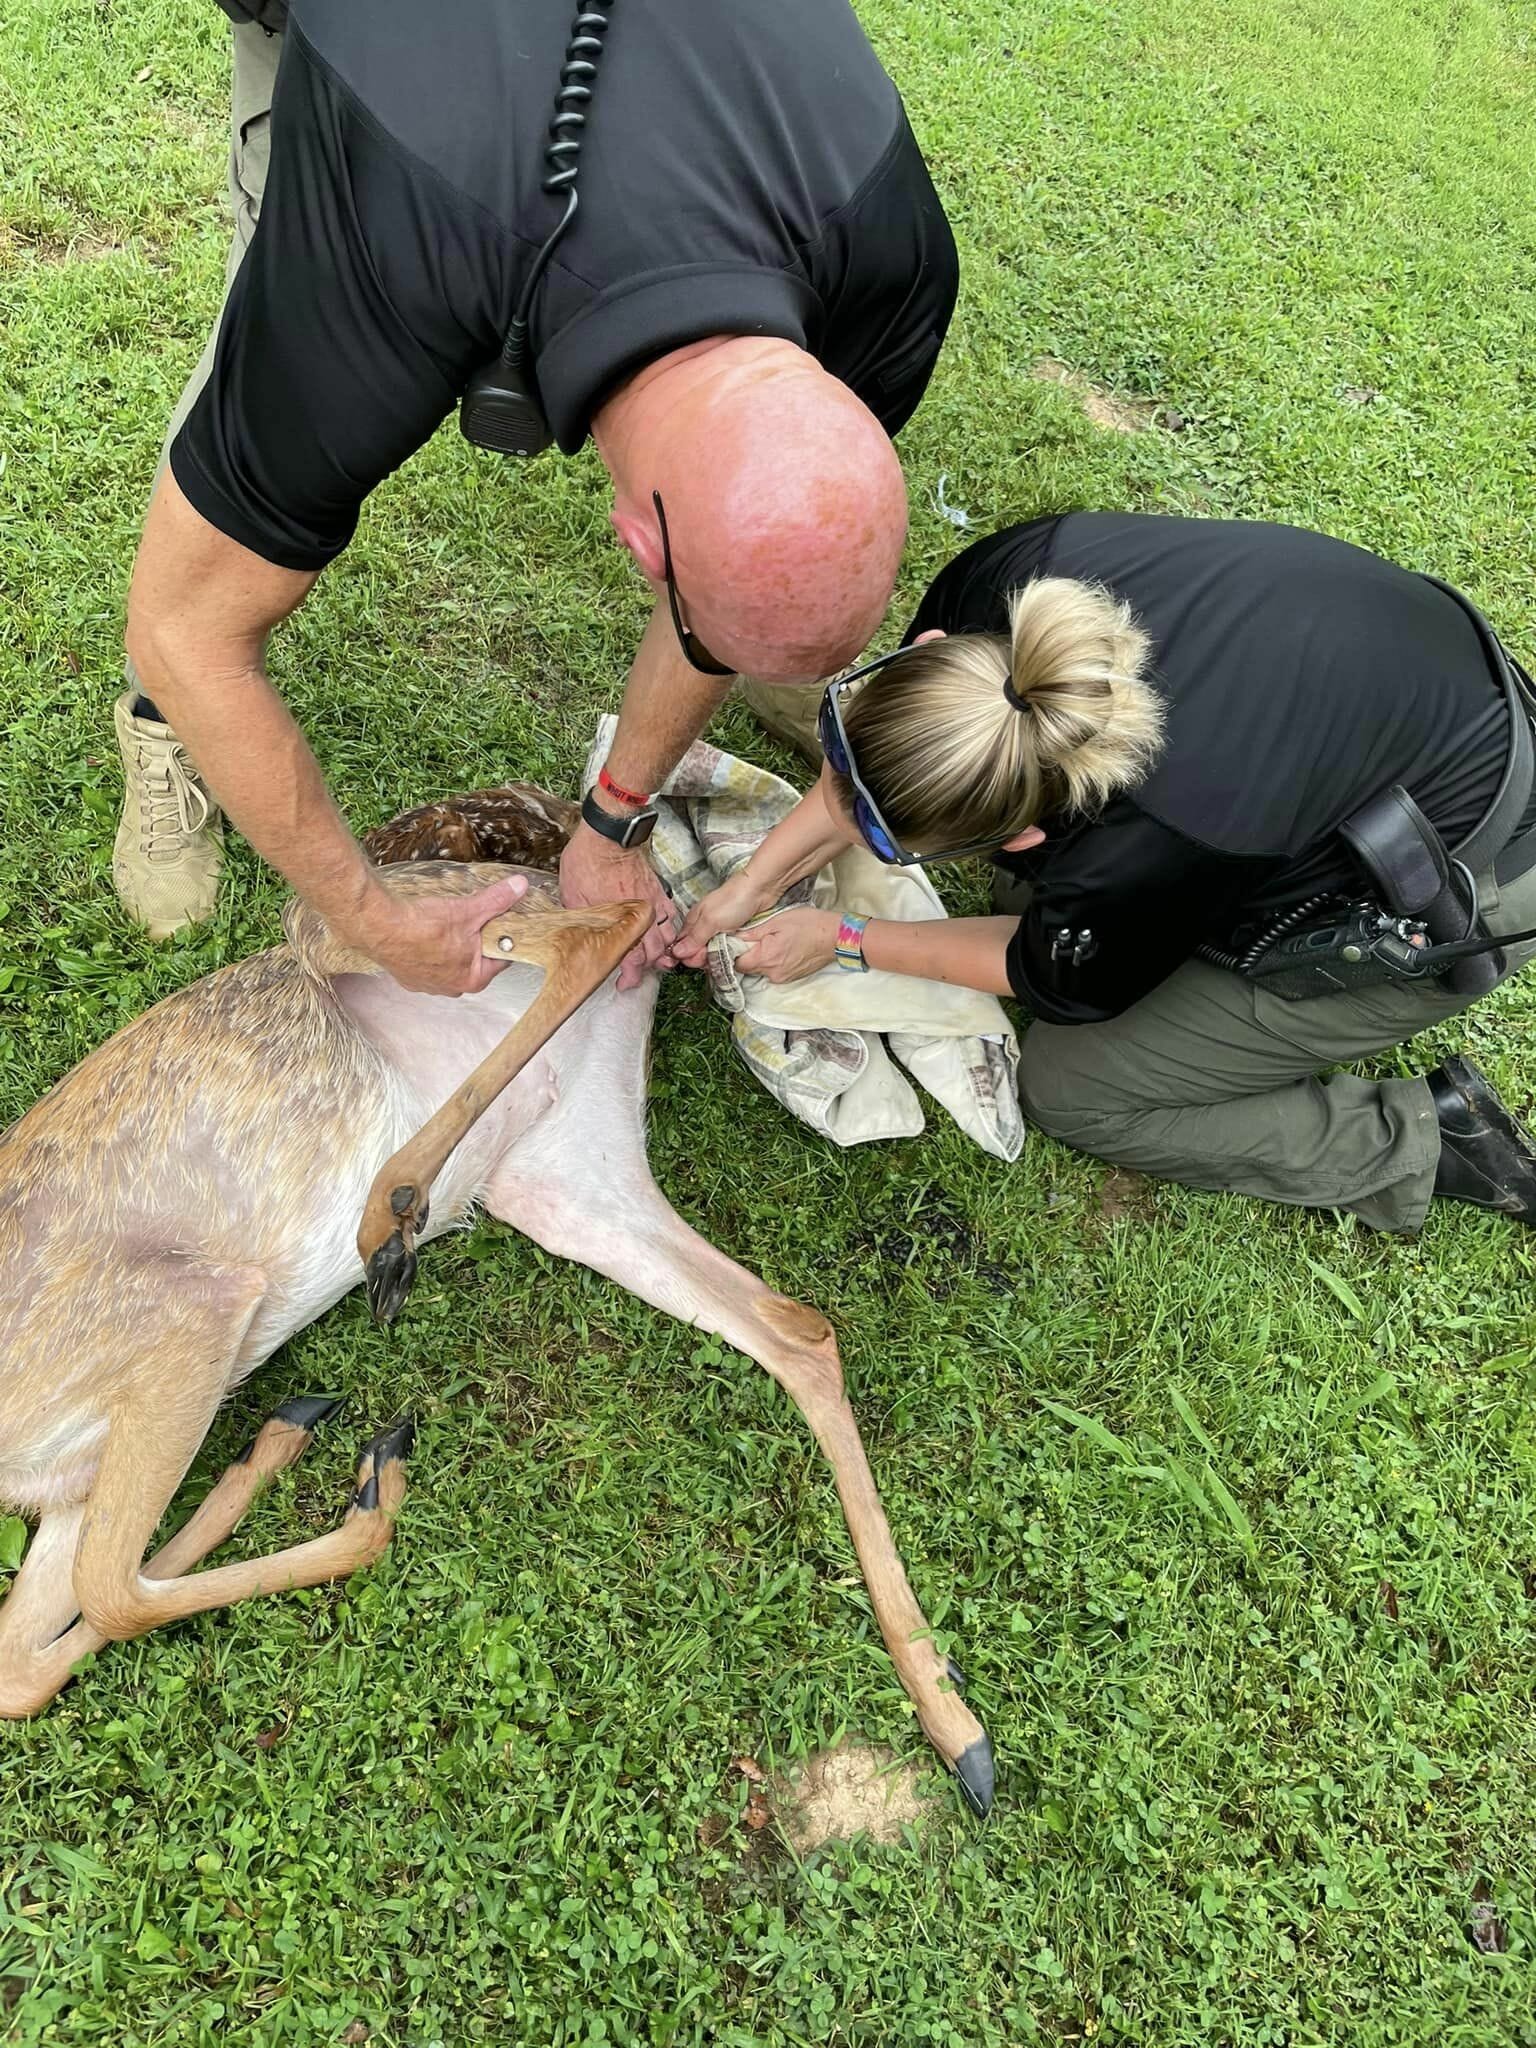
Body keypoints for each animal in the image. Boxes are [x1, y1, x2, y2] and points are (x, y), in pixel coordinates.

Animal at [0, 790, 999, 1818]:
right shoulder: (75, 1480)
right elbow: (23, 1663)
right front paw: (291, 1446)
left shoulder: (190, 1309)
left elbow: (109, 1592)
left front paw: (369, 1491)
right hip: (561, 1174)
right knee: (796, 1327)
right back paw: (955, 1720)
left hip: (381, 932)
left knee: (597, 929)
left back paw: (390, 1218)